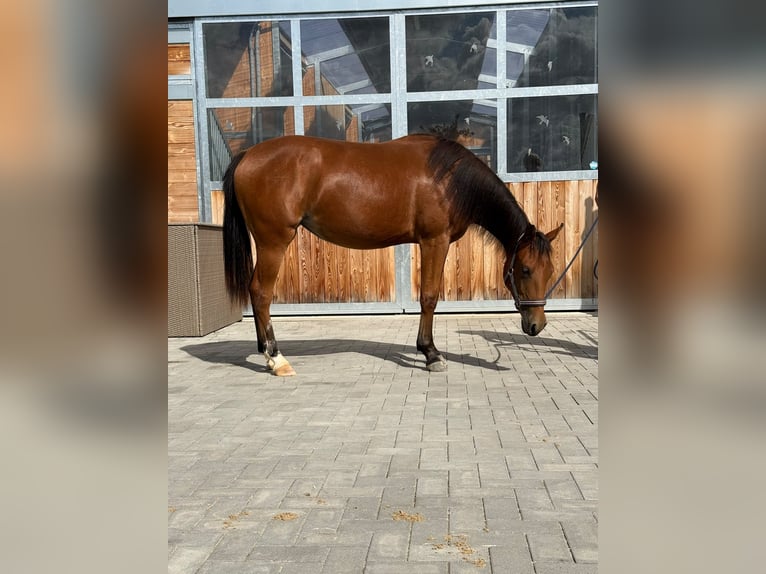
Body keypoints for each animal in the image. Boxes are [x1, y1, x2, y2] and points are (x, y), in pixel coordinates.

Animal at [223, 134, 562, 376]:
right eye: (525, 269)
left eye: (550, 271)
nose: (537, 325)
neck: (450, 179)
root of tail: (248, 155)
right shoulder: (434, 241)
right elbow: (429, 296)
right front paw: (431, 353)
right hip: (274, 241)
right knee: (261, 292)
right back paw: (276, 357)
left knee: (255, 292)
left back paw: (263, 350)